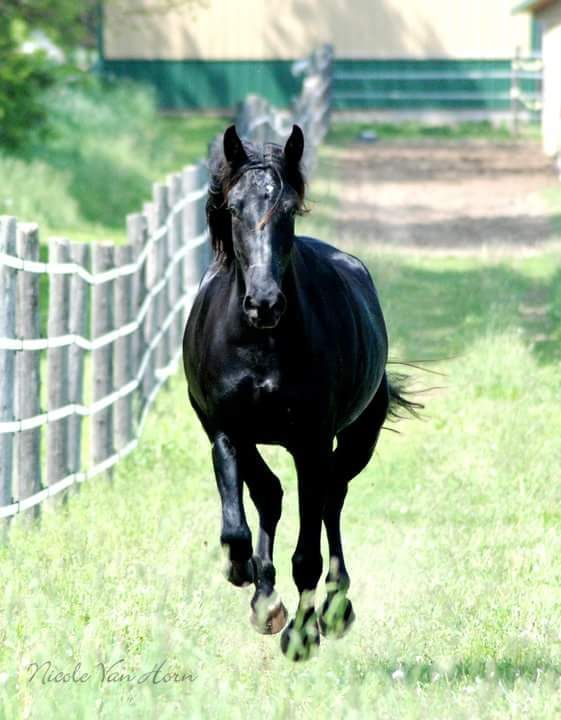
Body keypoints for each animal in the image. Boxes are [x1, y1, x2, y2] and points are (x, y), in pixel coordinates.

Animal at [182, 124, 413, 661]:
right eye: (233, 209)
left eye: (287, 209)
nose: (264, 303)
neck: (261, 344)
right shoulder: (226, 431)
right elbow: (238, 524)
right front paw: (249, 580)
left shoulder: (312, 443)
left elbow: (307, 552)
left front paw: (303, 635)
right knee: (270, 494)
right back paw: (264, 595)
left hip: (355, 442)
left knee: (331, 500)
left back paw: (335, 608)